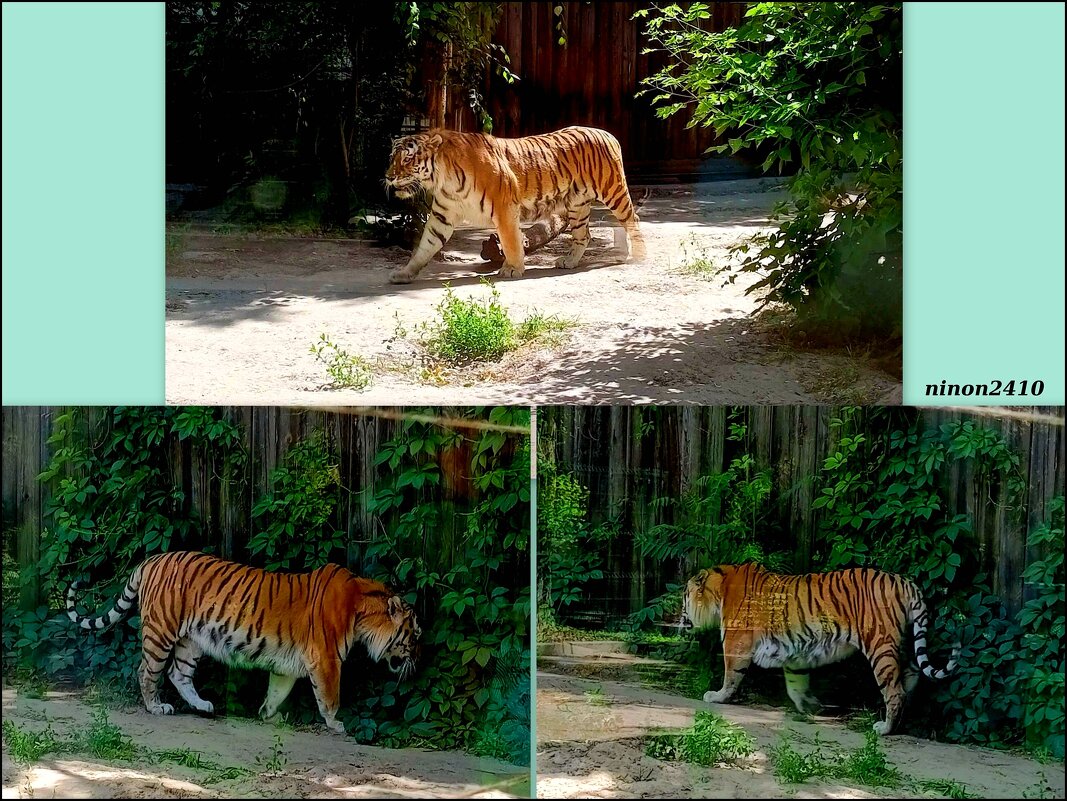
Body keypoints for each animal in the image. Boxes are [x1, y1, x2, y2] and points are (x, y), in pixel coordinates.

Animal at [66, 550, 420, 733]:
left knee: (178, 674)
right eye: (414, 634)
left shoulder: (287, 664)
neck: (363, 608)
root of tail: (151, 559)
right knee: (147, 671)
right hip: (161, 631)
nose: (419, 656)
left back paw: (203, 706)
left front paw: (269, 716)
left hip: (192, 641)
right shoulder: (326, 659)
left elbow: (277, 692)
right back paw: (156, 707)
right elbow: (330, 697)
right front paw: (337, 725)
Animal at [386, 125, 648, 285]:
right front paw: (405, 273)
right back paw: (569, 262)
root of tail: (607, 133)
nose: (388, 177)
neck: (443, 180)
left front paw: (512, 269)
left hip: (613, 191)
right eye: (391, 158)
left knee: (632, 220)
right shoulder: (443, 216)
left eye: (407, 159)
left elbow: (510, 240)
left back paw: (639, 256)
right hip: (577, 205)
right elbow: (425, 246)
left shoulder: (504, 207)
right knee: (584, 235)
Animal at [682, 558, 960, 738]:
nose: (680, 615)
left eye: (684, 595)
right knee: (910, 676)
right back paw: (902, 721)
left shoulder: (735, 642)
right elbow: (796, 684)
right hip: (902, 645)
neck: (720, 589)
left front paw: (717, 696)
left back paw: (885, 729)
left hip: (880, 645)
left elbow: (731, 675)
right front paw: (810, 707)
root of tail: (905, 582)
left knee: (894, 690)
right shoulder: (794, 653)